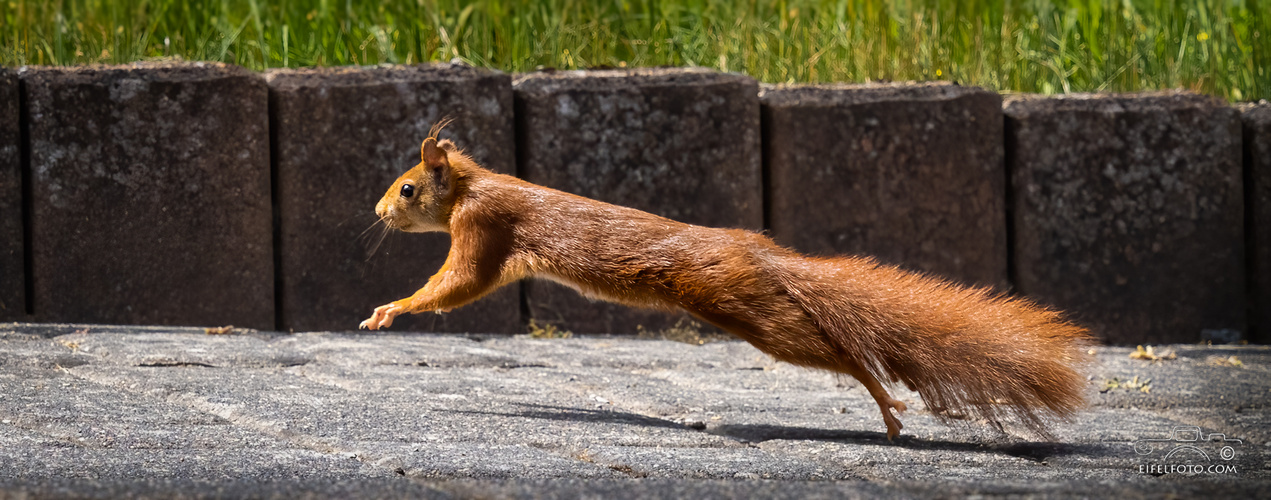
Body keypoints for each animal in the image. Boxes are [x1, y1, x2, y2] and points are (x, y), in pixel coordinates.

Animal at [360, 129, 1093, 437]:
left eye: (406, 188)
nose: (377, 210)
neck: (474, 187)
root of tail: (760, 252)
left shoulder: (485, 228)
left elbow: (457, 285)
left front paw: (390, 308)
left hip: (746, 309)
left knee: (833, 350)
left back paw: (883, 402)